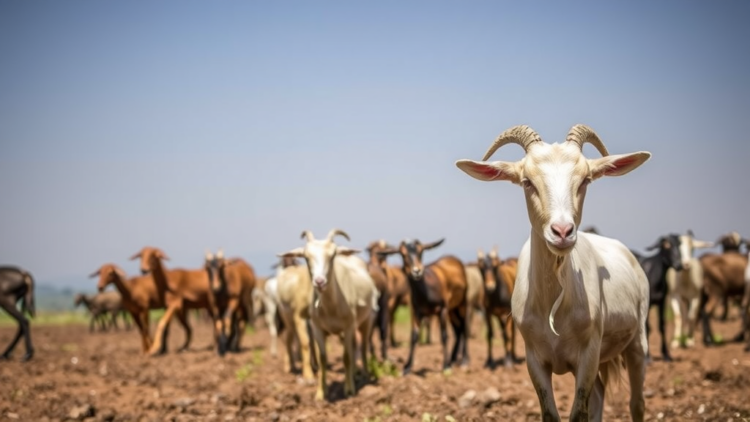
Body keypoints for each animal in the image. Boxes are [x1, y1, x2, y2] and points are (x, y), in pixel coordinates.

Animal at [280, 229, 378, 400]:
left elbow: (346, 357)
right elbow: (322, 358)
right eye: (306, 257)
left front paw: (349, 390)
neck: (332, 306)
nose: (320, 281)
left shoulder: (348, 327)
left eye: (332, 256)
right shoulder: (316, 327)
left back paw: (364, 375)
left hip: (367, 320)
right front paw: (320, 393)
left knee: (363, 346)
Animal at [379, 238, 469, 375]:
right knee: (458, 329)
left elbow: (444, 335)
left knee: (464, 327)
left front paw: (445, 367)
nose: (417, 271)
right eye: (403, 254)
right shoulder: (417, 312)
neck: (427, 291)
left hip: (462, 303)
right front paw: (406, 367)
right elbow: (414, 336)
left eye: (421, 251)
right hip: (452, 310)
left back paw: (464, 361)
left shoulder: (442, 310)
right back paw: (453, 359)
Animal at [457, 124, 651, 421]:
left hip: (637, 341)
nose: (562, 232)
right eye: (527, 182)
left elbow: (578, 414)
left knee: (636, 403)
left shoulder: (588, 355)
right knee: (600, 395)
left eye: (585, 180)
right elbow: (551, 413)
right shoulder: (534, 359)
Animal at [632, 234, 684, 362]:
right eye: (666, 244)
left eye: (679, 244)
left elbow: (662, 326)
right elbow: (648, 327)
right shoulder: (647, 304)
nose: (679, 265)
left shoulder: (662, 301)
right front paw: (647, 358)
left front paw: (666, 355)